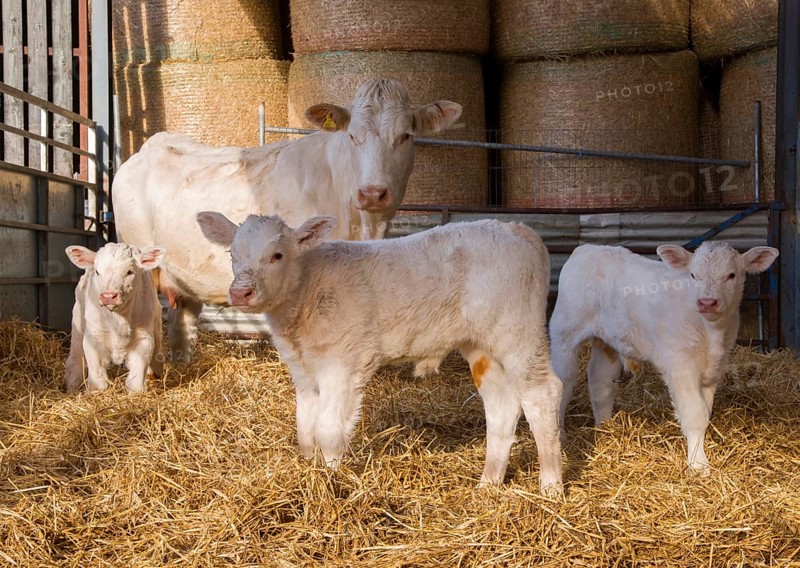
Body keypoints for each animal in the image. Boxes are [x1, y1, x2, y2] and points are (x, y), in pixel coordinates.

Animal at [64, 243, 166, 394]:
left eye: (130, 272)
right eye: (97, 272)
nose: (108, 296)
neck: (119, 319)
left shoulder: (144, 338)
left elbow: (135, 383)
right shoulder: (93, 337)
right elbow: (98, 383)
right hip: (78, 322)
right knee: (75, 361)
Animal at [195, 212, 564, 494]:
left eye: (277, 255)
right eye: (232, 255)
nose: (240, 292)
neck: (306, 293)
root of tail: (517, 228)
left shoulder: (344, 364)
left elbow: (328, 430)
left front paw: (332, 482)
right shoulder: (303, 370)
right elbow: (305, 431)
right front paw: (311, 473)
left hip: (519, 334)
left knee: (542, 394)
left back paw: (550, 485)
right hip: (480, 344)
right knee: (501, 404)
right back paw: (489, 483)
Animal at [549, 241, 779, 474]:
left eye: (731, 275)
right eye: (693, 275)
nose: (707, 302)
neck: (710, 331)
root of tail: (588, 248)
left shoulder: (714, 367)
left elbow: (706, 412)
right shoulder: (680, 365)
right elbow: (695, 414)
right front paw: (698, 465)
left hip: (607, 340)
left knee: (600, 380)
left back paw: (605, 428)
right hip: (564, 333)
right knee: (564, 382)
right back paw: (561, 434)